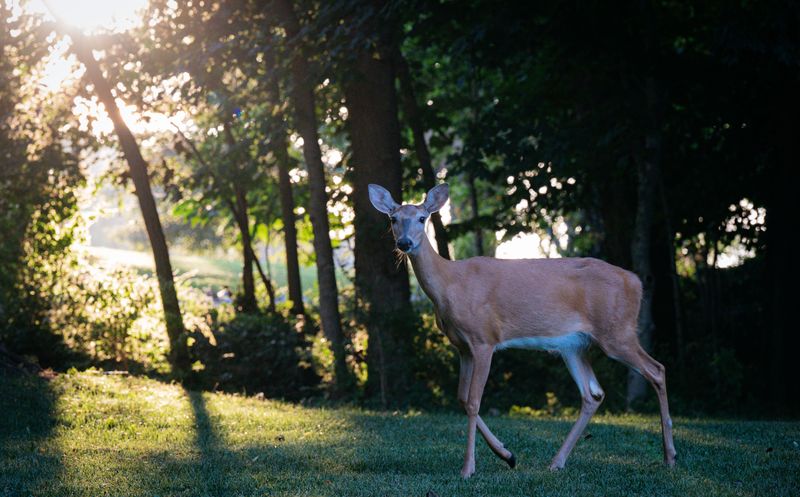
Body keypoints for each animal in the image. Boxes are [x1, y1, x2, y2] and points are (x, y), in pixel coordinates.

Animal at [368, 182, 676, 479]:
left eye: (422, 218)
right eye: (393, 219)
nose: (404, 243)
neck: (450, 285)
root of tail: (636, 282)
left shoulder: (484, 339)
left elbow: (473, 401)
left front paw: (468, 468)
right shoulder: (462, 347)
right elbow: (462, 398)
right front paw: (507, 455)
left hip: (617, 331)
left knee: (657, 370)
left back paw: (669, 456)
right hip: (574, 346)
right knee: (594, 394)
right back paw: (557, 462)